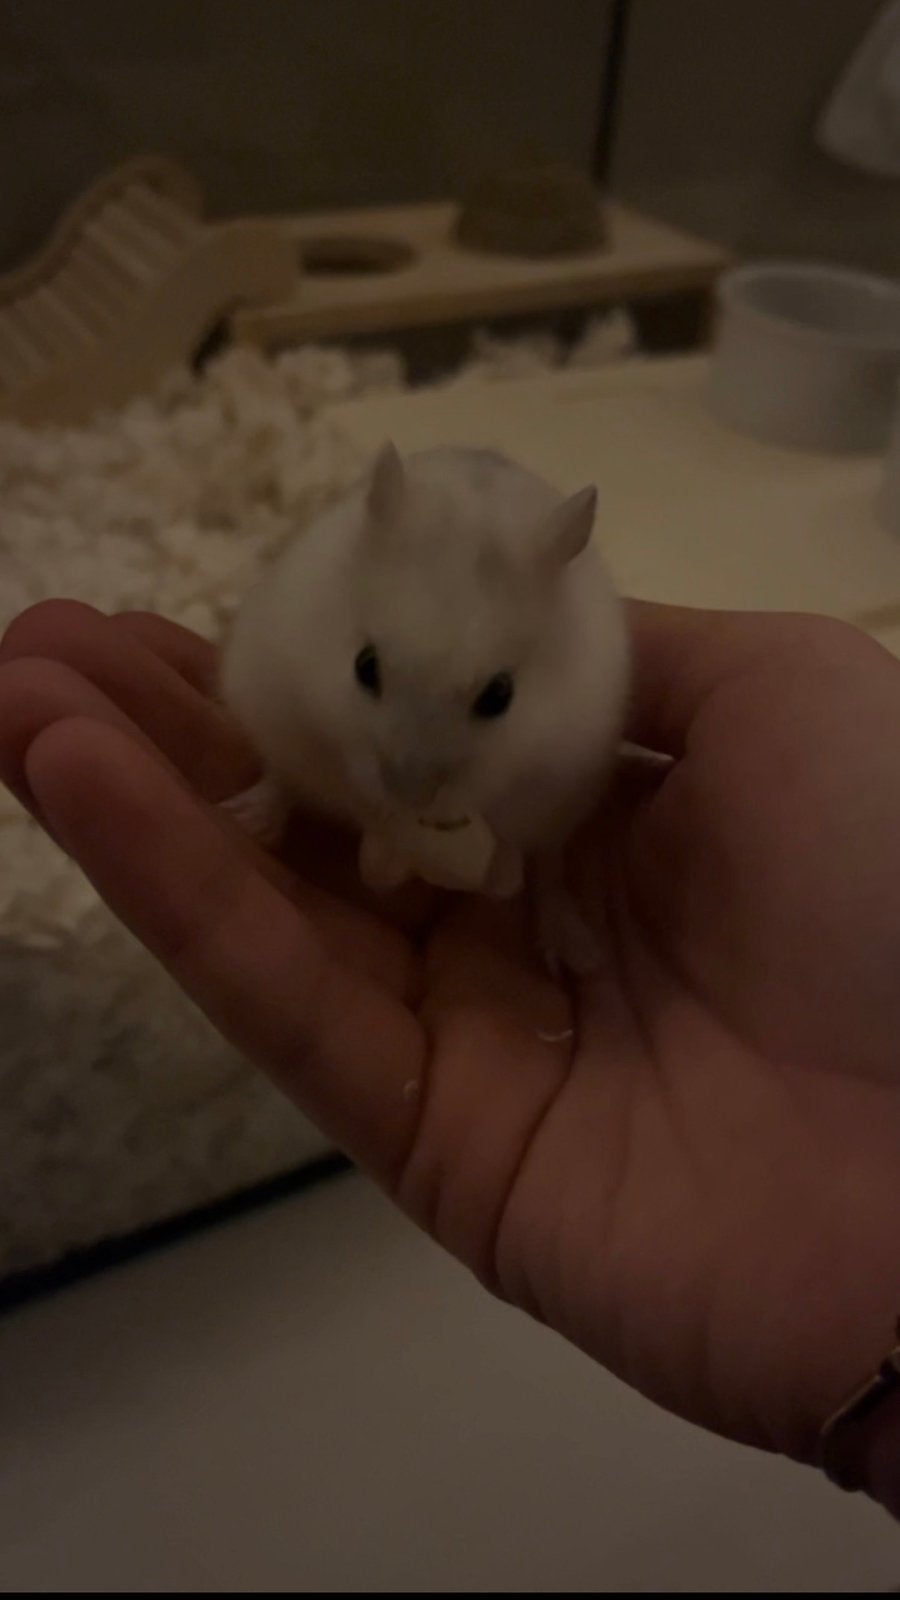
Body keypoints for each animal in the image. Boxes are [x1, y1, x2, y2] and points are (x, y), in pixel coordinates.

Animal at [219, 442, 630, 975]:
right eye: (365, 666)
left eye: (500, 696)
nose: (410, 798)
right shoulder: (292, 704)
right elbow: (343, 794)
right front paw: (383, 865)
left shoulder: (553, 772)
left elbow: (512, 842)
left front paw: (500, 879)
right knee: (281, 780)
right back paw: (243, 820)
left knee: (550, 870)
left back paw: (577, 954)